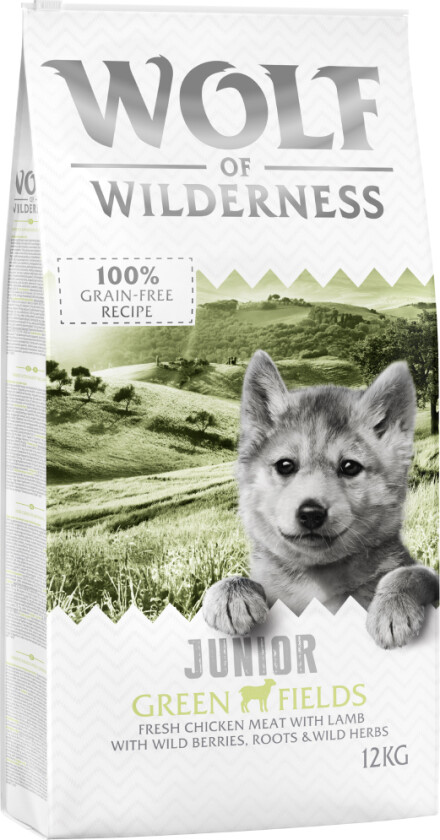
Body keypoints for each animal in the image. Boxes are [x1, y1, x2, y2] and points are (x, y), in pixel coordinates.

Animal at [203, 351, 438, 648]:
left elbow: (413, 574)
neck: (316, 583)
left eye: (349, 467)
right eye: (285, 465)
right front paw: (231, 594)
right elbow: (244, 581)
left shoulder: (419, 573)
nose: (311, 513)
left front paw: (393, 606)